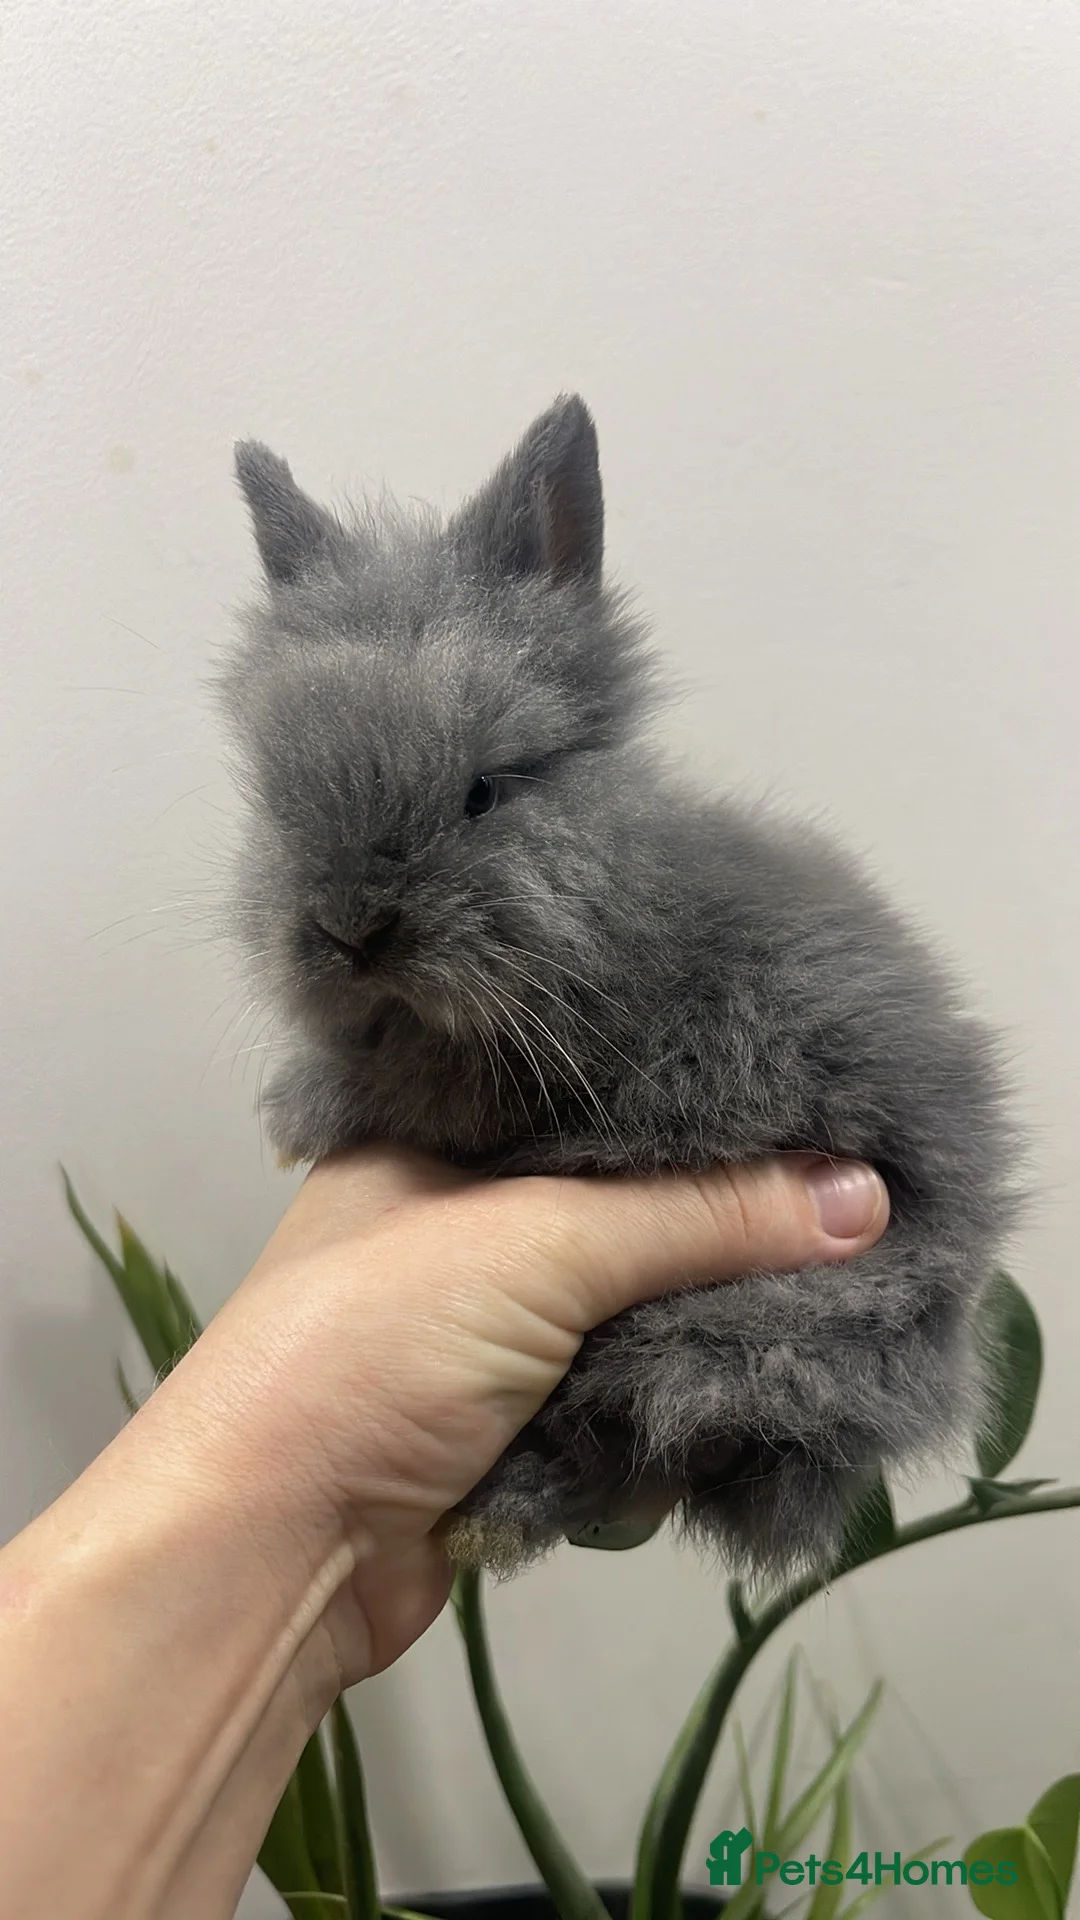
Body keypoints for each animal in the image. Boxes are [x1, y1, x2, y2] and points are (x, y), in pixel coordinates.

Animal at [220, 394, 1018, 1578]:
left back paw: (493, 1517)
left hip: (737, 1334)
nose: (352, 930)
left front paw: (297, 1113)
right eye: (276, 801)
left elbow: (404, 1089)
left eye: (484, 791)